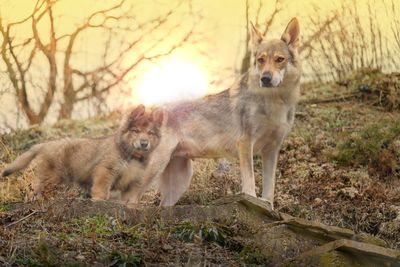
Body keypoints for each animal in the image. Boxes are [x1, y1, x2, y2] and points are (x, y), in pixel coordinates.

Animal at [128, 17, 300, 209]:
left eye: (279, 59)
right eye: (261, 60)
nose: (265, 78)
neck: (274, 101)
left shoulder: (272, 149)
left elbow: (269, 189)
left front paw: (268, 207)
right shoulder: (245, 144)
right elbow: (250, 184)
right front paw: (253, 202)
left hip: (179, 182)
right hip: (155, 168)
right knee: (130, 196)